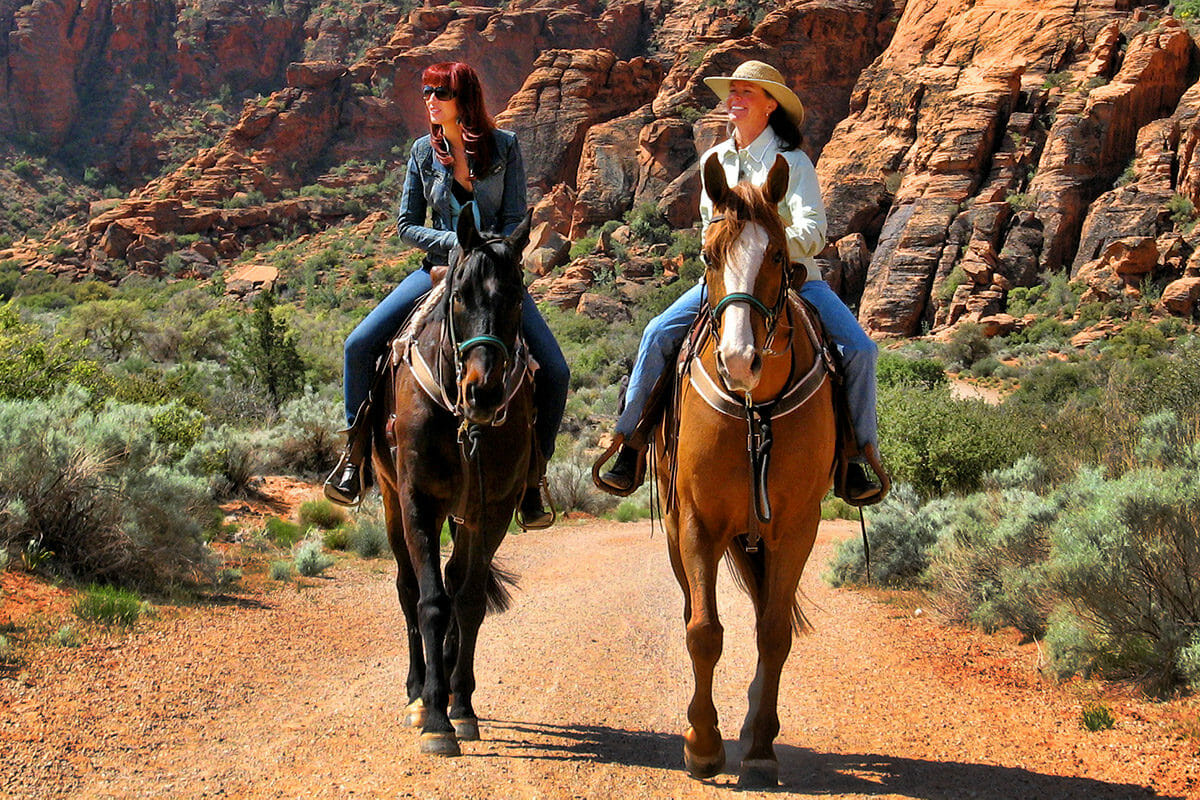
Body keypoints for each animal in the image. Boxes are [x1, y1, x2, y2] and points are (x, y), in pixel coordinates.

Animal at [371, 205, 535, 756]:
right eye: (459, 293)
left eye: (517, 295)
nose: (482, 391)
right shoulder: (418, 499)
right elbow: (431, 601)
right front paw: (435, 716)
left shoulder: (492, 508)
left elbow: (466, 601)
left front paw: (460, 706)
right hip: (390, 499)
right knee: (407, 589)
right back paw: (417, 693)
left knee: (456, 579)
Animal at [656, 153, 837, 787]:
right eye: (710, 255)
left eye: (779, 254)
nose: (739, 361)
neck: (755, 409)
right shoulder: (696, 523)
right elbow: (703, 632)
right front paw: (702, 744)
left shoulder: (797, 528)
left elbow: (774, 633)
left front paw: (758, 747)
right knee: (692, 609)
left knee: (765, 616)